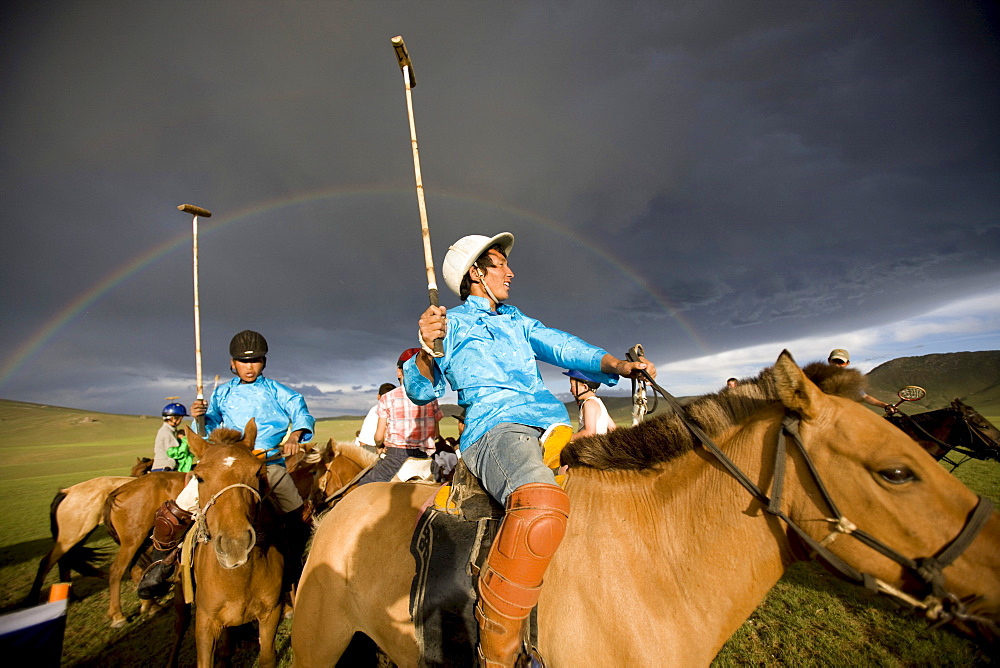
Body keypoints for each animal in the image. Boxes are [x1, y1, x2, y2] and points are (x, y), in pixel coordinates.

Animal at [25, 456, 155, 604]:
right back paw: (32, 599)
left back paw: (71, 596)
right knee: (47, 562)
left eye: (143, 470)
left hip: (80, 534)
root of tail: (67, 492)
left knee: (65, 559)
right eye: (134, 469)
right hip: (71, 536)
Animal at [169, 420, 286, 668]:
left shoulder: (271, 613)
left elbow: (267, 657)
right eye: (199, 477)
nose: (235, 544)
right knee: (180, 624)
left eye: (257, 471)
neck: (237, 579)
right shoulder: (205, 623)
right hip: (180, 592)